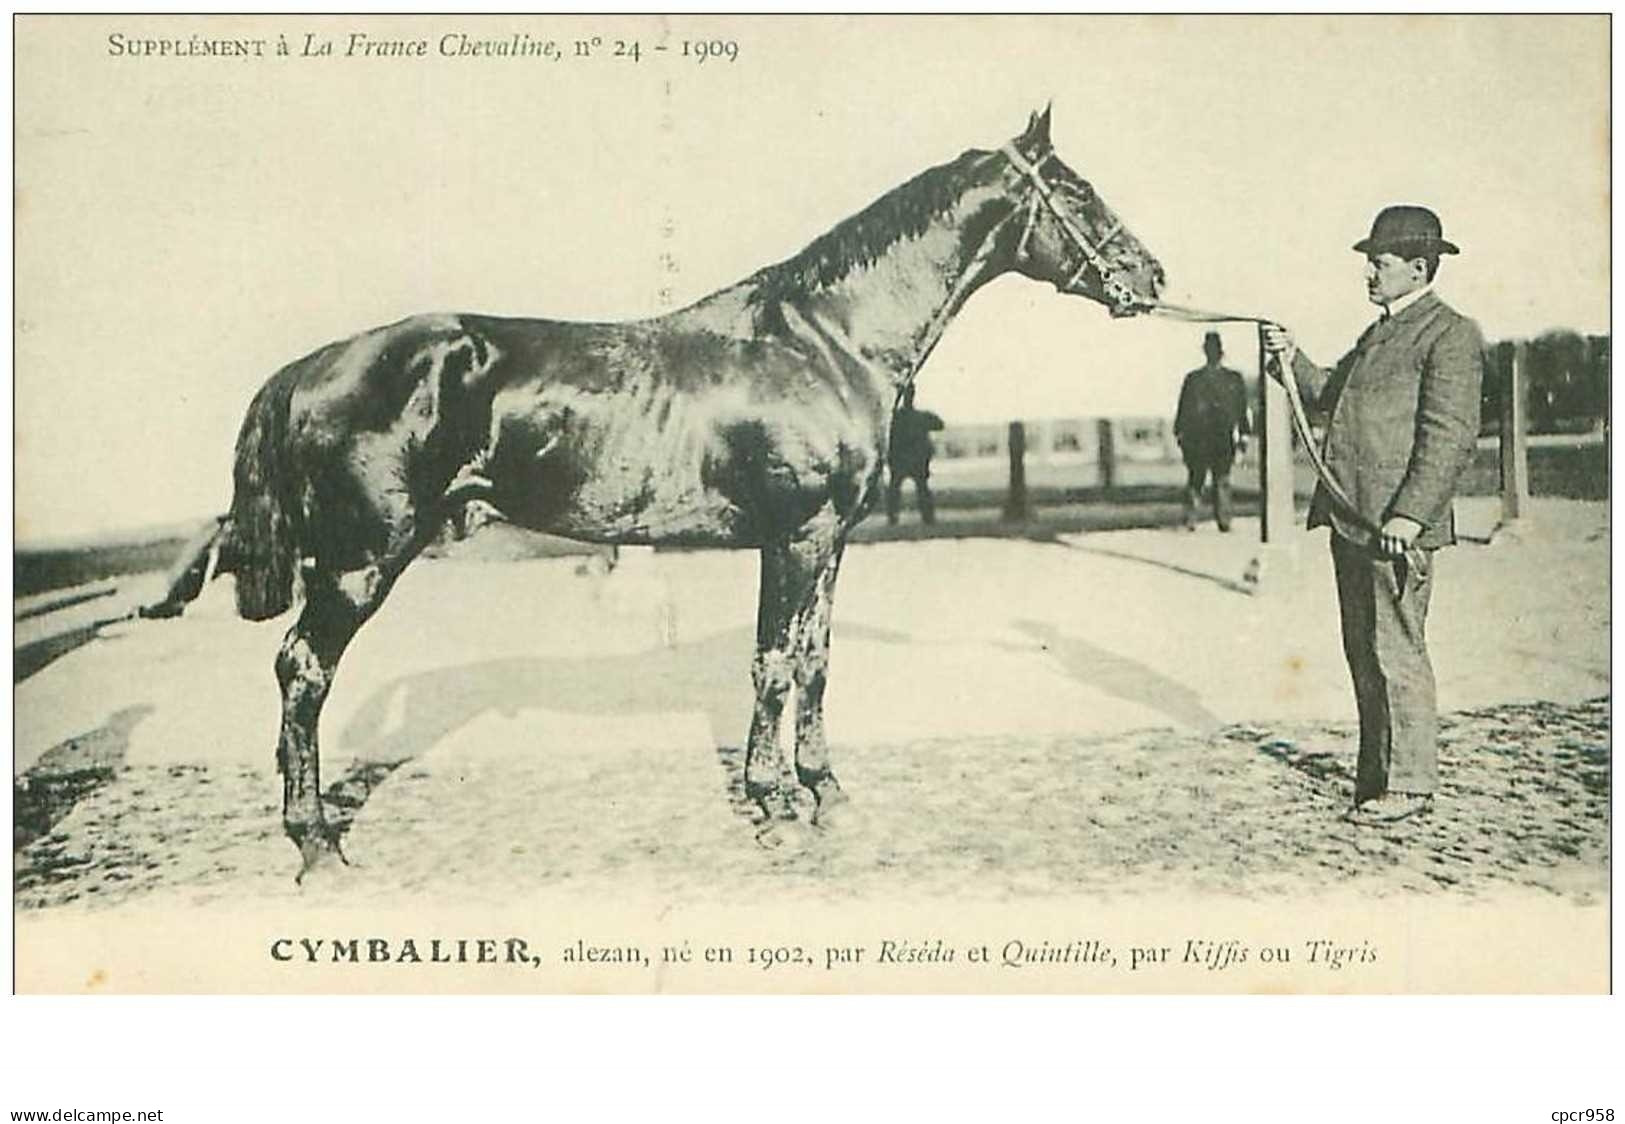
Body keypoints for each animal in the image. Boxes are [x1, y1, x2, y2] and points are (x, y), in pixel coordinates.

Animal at [168, 105, 1170, 877]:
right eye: (1078, 191)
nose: (1152, 277)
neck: (825, 341)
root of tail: (310, 366)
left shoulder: (831, 541)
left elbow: (814, 661)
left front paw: (828, 795)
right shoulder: (793, 535)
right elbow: (773, 664)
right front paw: (774, 809)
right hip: (361, 561)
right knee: (304, 670)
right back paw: (317, 846)